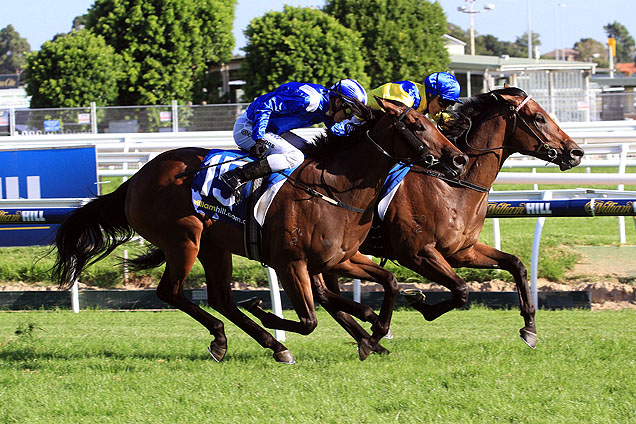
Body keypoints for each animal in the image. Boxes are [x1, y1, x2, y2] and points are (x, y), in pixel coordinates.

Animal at [51, 97, 468, 362]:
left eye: (434, 123)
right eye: (416, 125)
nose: (458, 158)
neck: (335, 189)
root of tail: (135, 179)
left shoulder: (340, 258)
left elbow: (389, 283)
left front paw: (378, 331)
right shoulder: (291, 262)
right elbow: (310, 319)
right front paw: (266, 311)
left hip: (214, 247)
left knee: (220, 297)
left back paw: (263, 343)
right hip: (183, 240)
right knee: (171, 292)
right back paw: (240, 337)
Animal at [320, 86, 584, 348]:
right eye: (539, 118)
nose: (576, 152)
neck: (452, 187)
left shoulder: (461, 251)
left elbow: (515, 264)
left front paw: (529, 328)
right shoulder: (416, 254)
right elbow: (461, 289)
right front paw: (419, 302)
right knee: (324, 295)